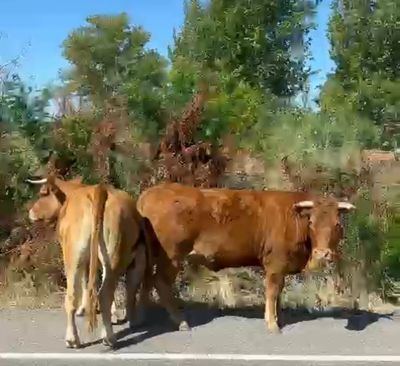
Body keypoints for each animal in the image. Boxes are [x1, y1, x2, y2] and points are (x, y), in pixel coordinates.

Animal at [27, 176, 147, 348]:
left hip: (74, 256)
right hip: (112, 257)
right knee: (106, 290)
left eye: (43, 193)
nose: (30, 212)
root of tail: (99, 190)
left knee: (78, 295)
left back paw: (79, 338)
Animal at [138, 182, 356, 332]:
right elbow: (272, 292)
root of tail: (151, 193)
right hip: (172, 256)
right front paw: (272, 323)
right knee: (160, 282)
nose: (322, 253)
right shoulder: (275, 264)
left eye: (337, 224)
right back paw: (181, 321)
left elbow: (278, 293)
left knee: (146, 279)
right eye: (311, 222)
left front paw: (278, 318)